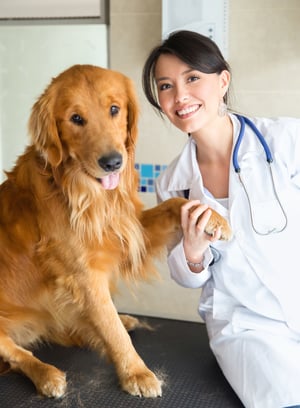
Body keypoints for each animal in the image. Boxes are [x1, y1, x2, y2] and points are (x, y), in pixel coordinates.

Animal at [0, 64, 231, 398]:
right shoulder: (83, 274)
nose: (112, 163)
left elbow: (176, 203)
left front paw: (213, 218)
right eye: (76, 118)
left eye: (114, 109)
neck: (87, 193)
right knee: (18, 355)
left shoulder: (129, 227)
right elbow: (110, 328)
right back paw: (47, 375)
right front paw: (136, 372)